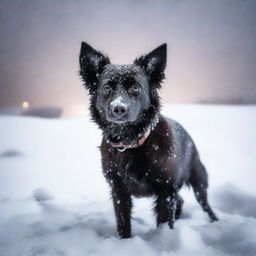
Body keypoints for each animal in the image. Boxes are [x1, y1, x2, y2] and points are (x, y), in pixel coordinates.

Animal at [79, 41, 217, 238]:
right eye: (107, 88)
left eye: (135, 87)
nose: (118, 108)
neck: (129, 142)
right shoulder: (118, 189)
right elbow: (123, 222)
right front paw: (125, 241)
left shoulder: (166, 189)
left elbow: (164, 221)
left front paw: (164, 239)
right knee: (181, 200)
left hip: (198, 180)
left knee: (205, 205)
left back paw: (214, 221)